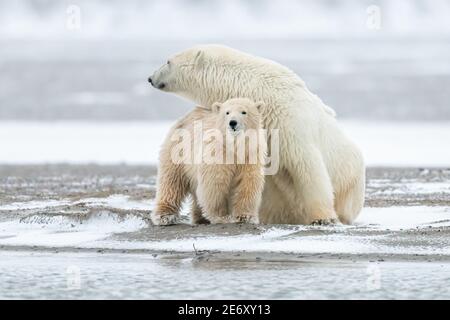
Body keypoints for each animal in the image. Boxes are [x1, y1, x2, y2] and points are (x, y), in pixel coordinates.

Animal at [149, 45, 364, 225]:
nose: (150, 78)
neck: (261, 90)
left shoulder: (289, 125)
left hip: (350, 182)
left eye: (168, 61)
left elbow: (308, 169)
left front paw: (323, 218)